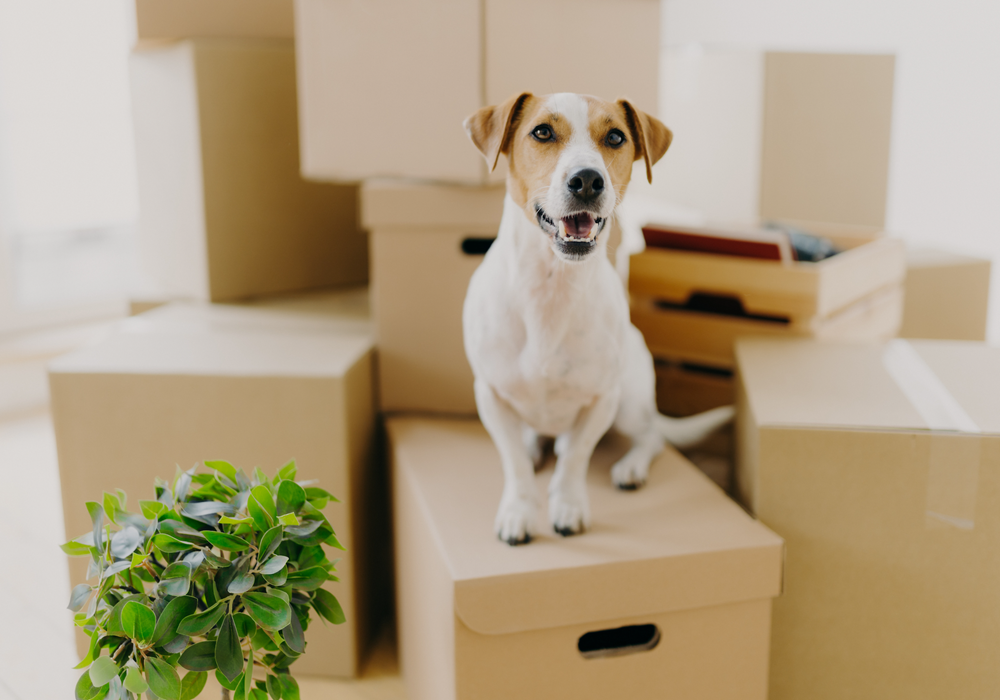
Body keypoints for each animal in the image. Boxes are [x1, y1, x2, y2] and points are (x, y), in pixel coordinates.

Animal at [462, 91, 736, 548]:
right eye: (542, 132)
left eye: (615, 137)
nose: (588, 180)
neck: (551, 286)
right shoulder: (491, 395)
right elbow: (514, 462)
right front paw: (520, 509)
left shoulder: (602, 399)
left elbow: (575, 457)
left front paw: (568, 506)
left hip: (628, 403)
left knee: (651, 436)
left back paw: (631, 466)